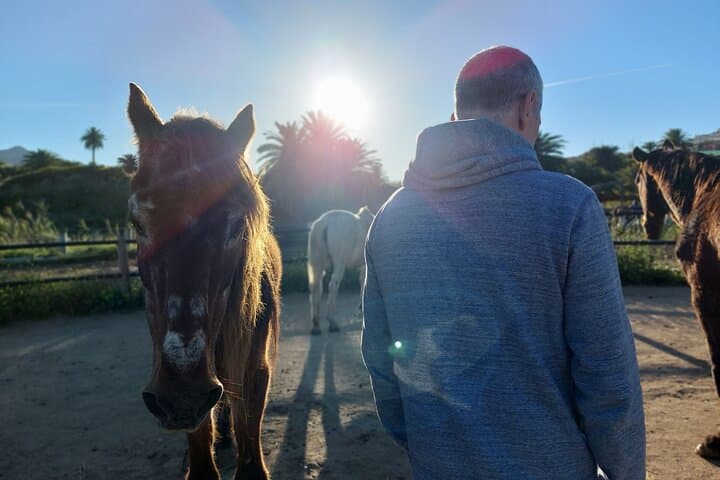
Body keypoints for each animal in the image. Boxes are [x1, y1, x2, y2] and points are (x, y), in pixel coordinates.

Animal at [307, 207, 374, 335]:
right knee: (333, 286)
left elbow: (362, 282)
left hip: (318, 264)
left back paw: (316, 325)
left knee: (315, 288)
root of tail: (324, 223)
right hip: (339, 264)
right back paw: (332, 322)